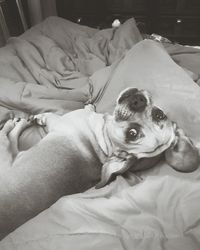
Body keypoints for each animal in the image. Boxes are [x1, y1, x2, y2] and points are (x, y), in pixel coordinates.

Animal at [0, 87, 198, 238]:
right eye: (159, 114)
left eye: (132, 134)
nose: (138, 101)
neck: (103, 141)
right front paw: (90, 105)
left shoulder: (57, 120)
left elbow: (46, 116)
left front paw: (35, 118)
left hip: (6, 153)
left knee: (10, 136)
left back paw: (15, 122)